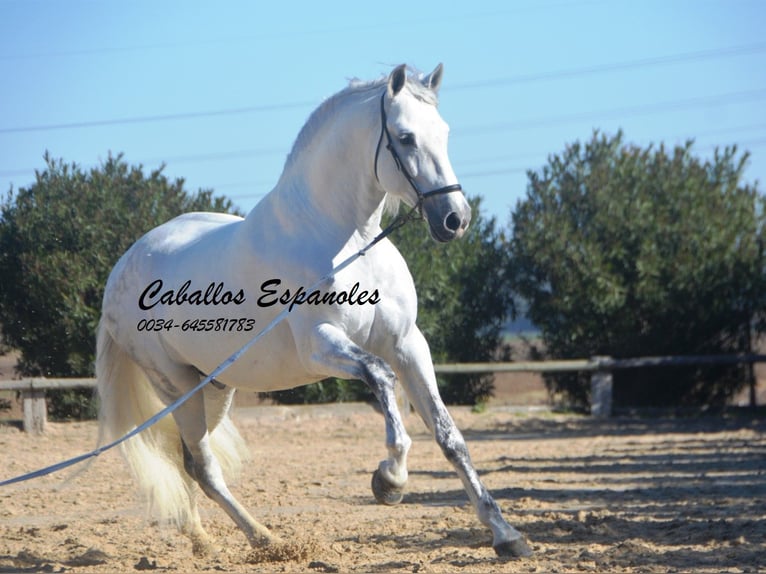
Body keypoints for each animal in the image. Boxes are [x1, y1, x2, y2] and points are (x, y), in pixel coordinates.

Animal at [97, 65, 536, 560]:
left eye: (443, 133)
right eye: (405, 137)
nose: (455, 220)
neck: (346, 242)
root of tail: (121, 268)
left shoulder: (408, 344)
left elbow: (450, 436)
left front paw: (506, 534)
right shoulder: (321, 344)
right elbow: (381, 377)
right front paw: (389, 481)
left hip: (214, 387)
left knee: (186, 459)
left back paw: (205, 541)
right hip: (178, 386)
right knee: (204, 467)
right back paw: (267, 540)